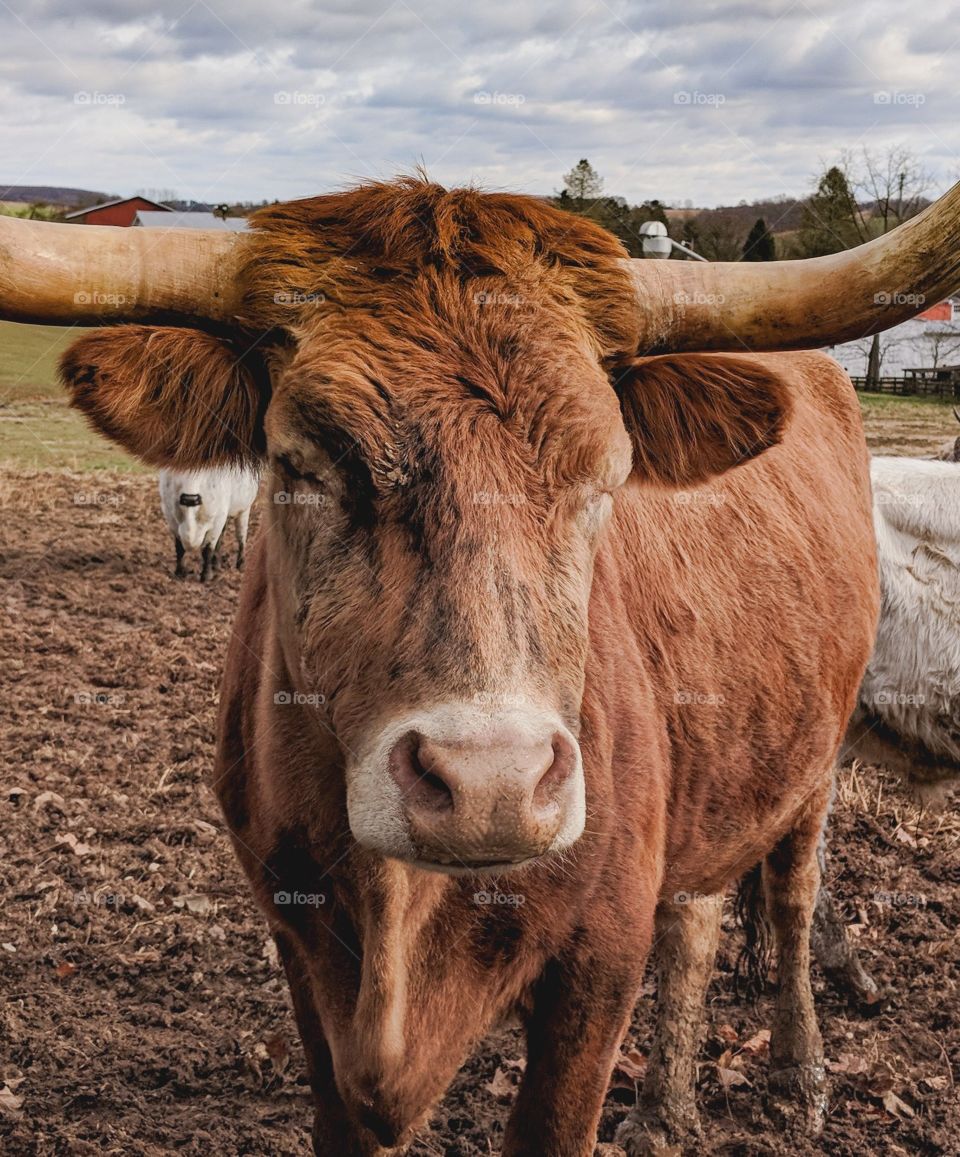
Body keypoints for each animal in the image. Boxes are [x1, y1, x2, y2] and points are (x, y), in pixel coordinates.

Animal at [4, 177, 960, 1157]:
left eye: (604, 475)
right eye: (303, 463)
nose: (490, 787)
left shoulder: (598, 965)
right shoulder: (302, 954)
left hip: (815, 762)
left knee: (795, 894)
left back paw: (799, 1071)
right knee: (695, 917)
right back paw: (664, 1109)